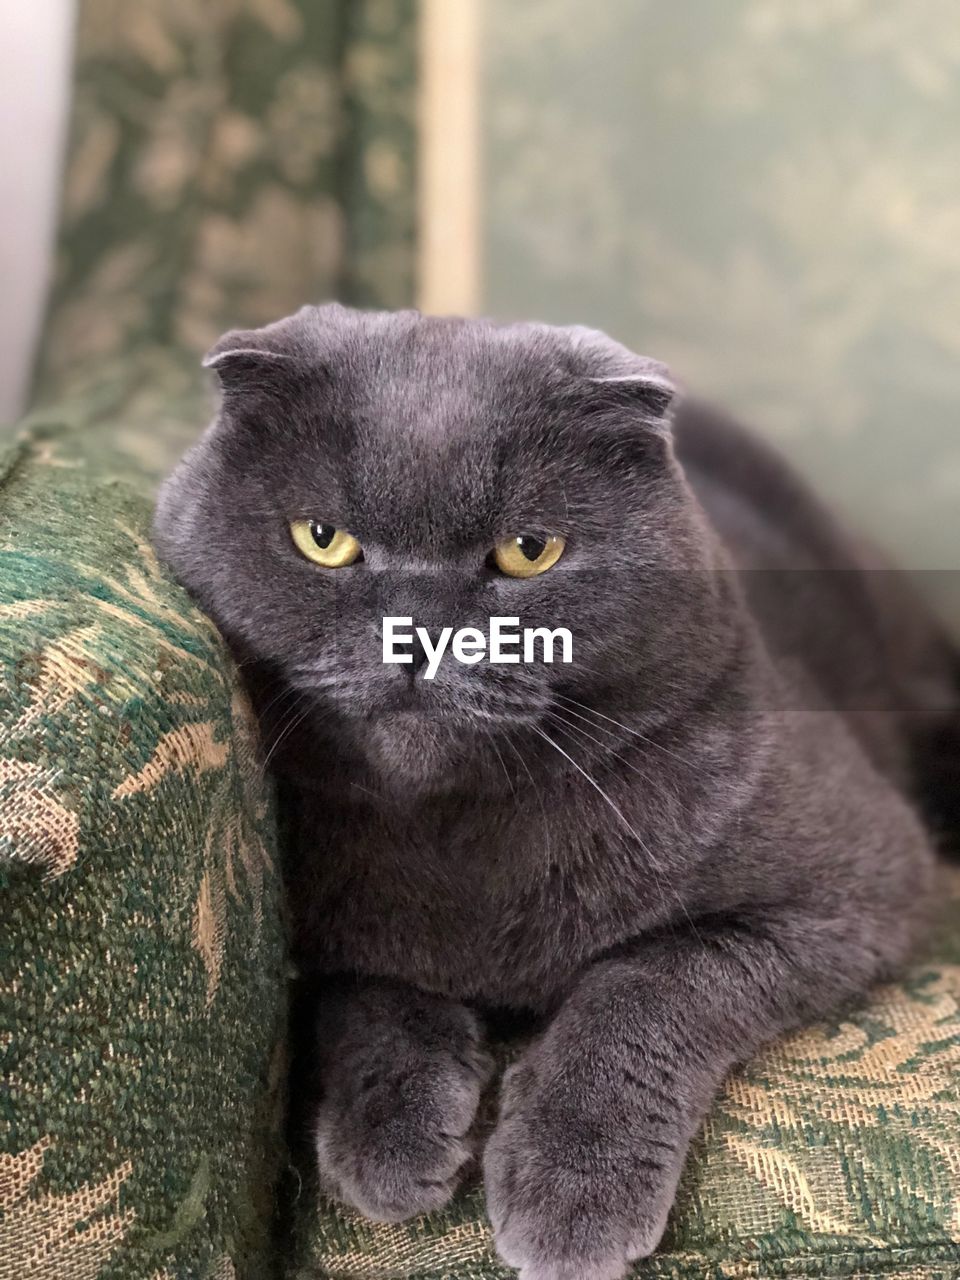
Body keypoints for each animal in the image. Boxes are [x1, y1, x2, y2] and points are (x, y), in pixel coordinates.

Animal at [154, 307, 957, 1280]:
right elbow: (362, 991)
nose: (414, 637)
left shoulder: (856, 881)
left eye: (529, 552)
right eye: (323, 539)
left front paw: (572, 1188)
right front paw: (392, 1141)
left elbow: (648, 979)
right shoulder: (330, 945)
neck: (461, 834)